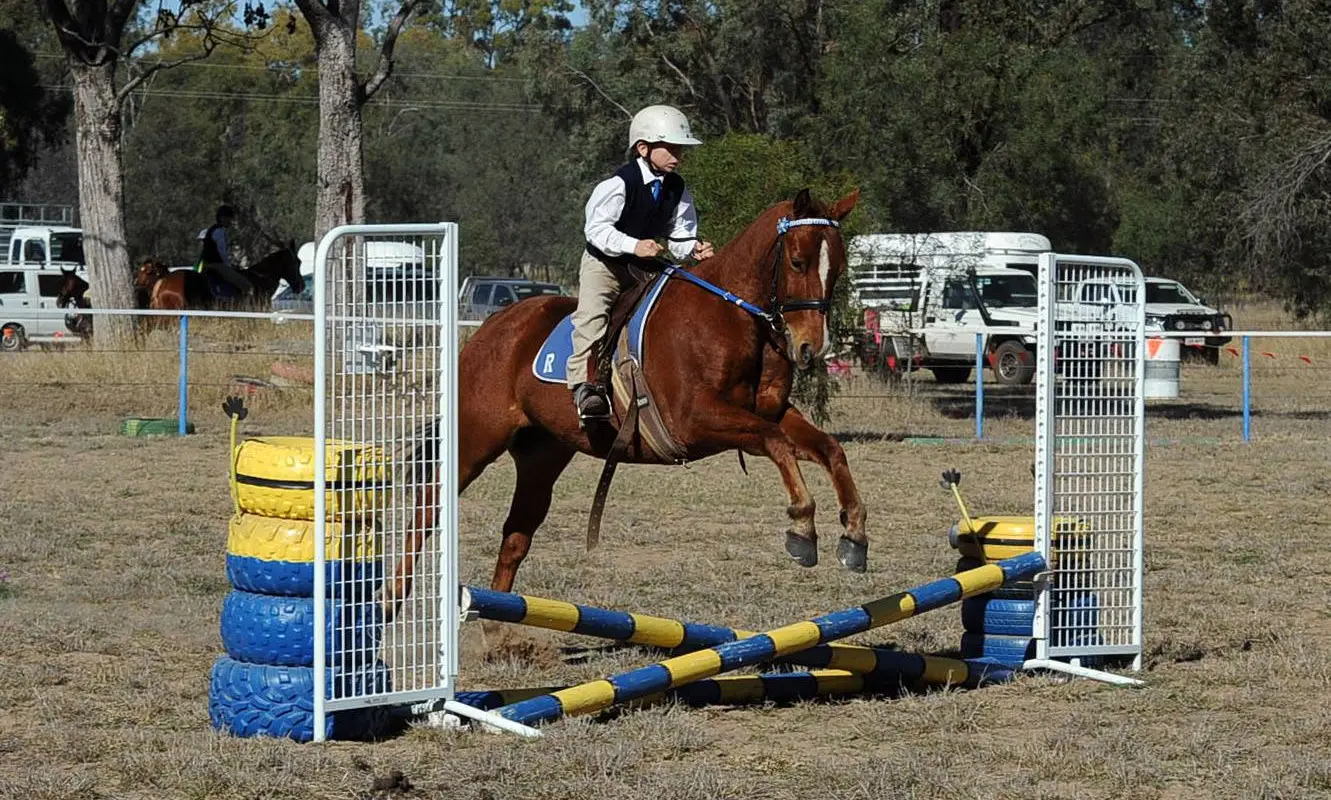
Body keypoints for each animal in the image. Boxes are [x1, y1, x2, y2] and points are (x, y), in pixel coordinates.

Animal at [383, 187, 867, 615]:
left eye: (839, 268)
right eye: (798, 261)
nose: (810, 348)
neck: (732, 318)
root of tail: (494, 325)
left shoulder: (768, 413)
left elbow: (828, 449)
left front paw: (854, 533)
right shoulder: (696, 421)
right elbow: (777, 443)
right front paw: (802, 525)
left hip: (542, 454)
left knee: (516, 533)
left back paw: (498, 633)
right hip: (477, 438)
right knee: (428, 505)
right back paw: (391, 597)